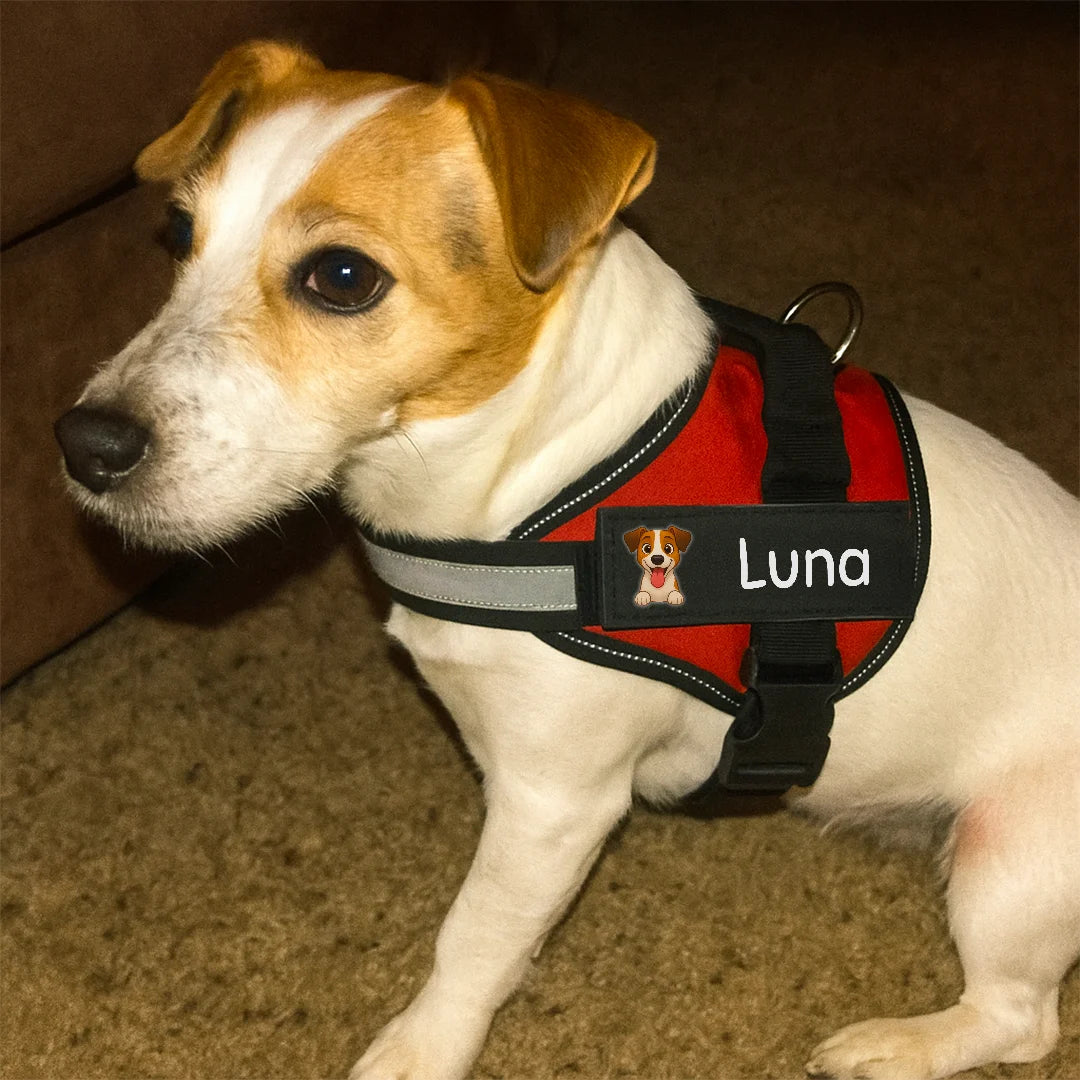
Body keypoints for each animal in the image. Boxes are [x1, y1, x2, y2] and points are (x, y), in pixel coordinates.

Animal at [54, 42, 1079, 1080]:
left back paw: (896, 1044)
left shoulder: (555, 803)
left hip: (1007, 865)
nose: (86, 444)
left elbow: (473, 936)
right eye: (179, 233)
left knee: (1019, 1018)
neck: (524, 477)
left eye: (340, 275)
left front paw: (424, 1045)